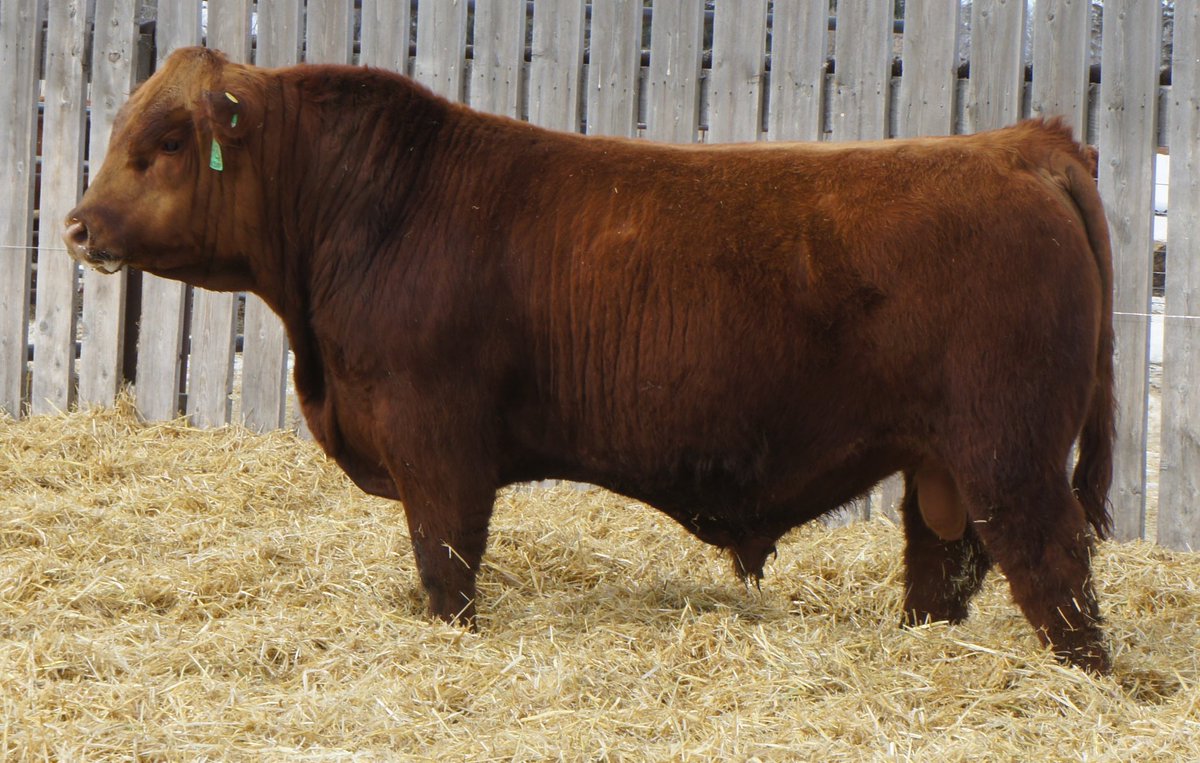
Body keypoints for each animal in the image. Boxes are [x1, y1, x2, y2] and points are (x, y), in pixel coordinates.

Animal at [64, 47, 1116, 674]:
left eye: (166, 140)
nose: (76, 226)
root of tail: (1020, 144)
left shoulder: (437, 446)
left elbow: (447, 569)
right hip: (945, 465)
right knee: (943, 569)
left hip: (1012, 454)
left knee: (1054, 567)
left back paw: (1081, 679)